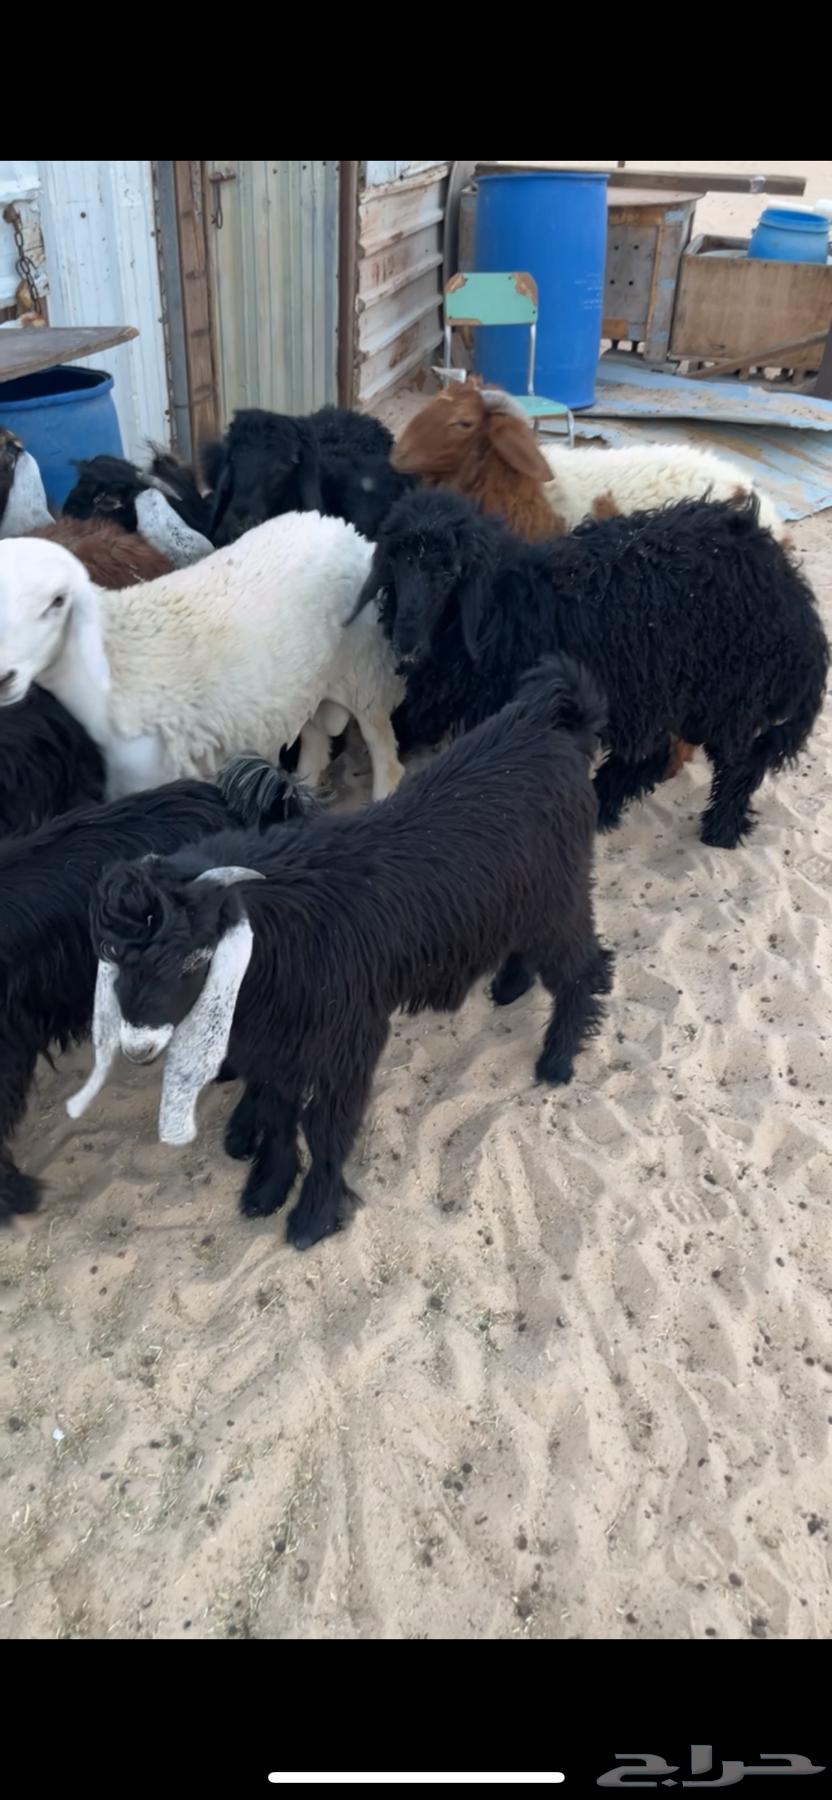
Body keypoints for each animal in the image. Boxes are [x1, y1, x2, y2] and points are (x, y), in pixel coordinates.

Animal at [0, 512, 405, 803]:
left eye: (58, 601)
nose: (4, 678)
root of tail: (341, 527)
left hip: (365, 671)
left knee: (383, 751)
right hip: (301, 682)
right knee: (317, 742)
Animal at [75, 656, 613, 1250]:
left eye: (193, 958)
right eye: (109, 952)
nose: (137, 1046)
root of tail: (553, 723)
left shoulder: (345, 1041)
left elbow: (326, 1129)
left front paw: (312, 1215)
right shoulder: (278, 1044)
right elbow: (279, 1113)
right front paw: (268, 1187)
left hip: (559, 895)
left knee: (585, 969)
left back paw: (558, 1059)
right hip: (523, 899)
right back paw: (511, 986)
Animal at [352, 488, 829, 850]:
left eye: (449, 572)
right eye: (395, 561)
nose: (407, 642)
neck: (500, 609)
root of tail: (790, 587)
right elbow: (403, 724)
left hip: (725, 695)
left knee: (736, 761)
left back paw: (720, 828)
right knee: (654, 756)